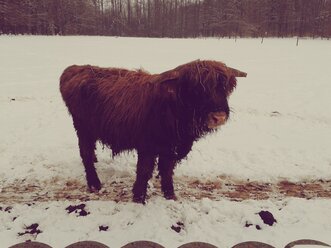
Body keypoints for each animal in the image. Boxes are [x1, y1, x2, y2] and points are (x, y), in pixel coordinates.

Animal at [59, 60, 246, 203]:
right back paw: (94, 184)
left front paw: (170, 195)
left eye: (225, 88)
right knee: (85, 154)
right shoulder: (147, 147)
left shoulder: (171, 148)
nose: (219, 117)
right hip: (83, 129)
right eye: (197, 89)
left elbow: (167, 171)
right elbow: (144, 171)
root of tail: (75, 69)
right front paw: (138, 197)